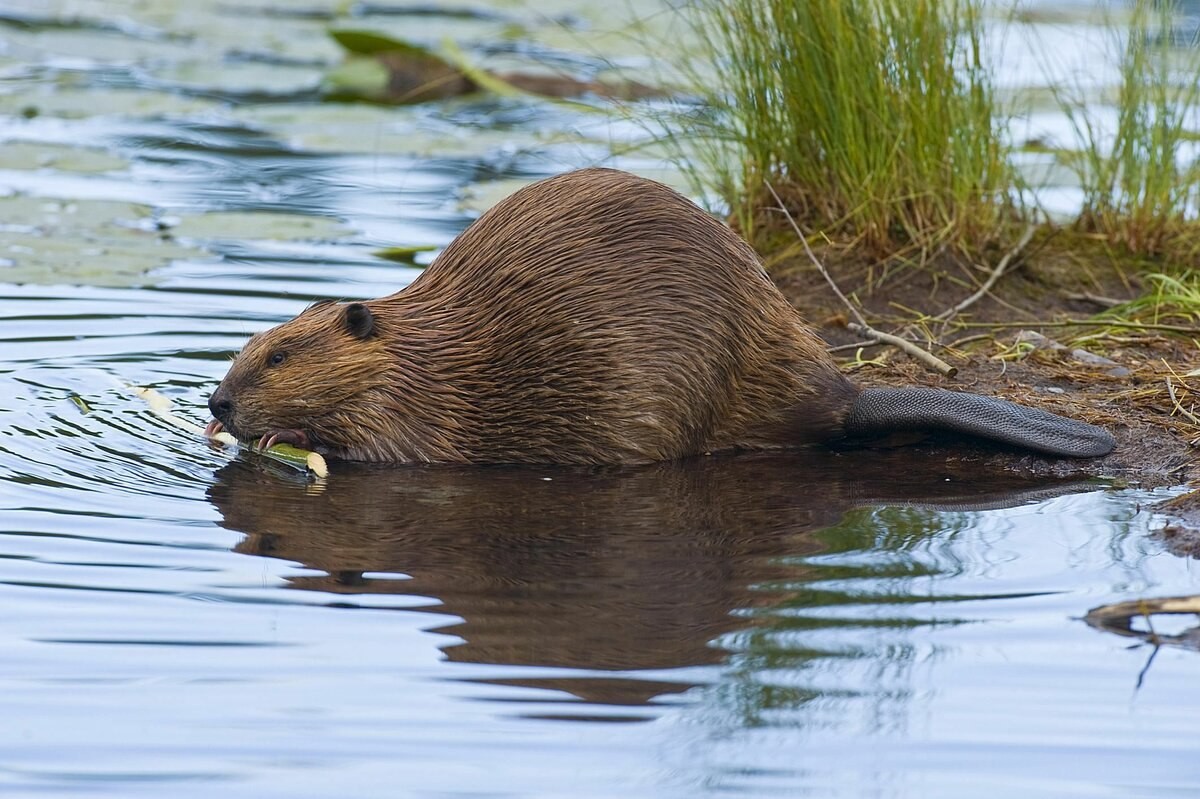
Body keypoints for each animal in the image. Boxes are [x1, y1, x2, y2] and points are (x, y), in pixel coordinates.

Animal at [204, 169, 1113, 467]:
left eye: (280, 356)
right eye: (250, 344)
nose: (218, 400)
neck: (420, 348)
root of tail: (848, 396)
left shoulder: (424, 406)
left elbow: (391, 450)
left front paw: (281, 436)